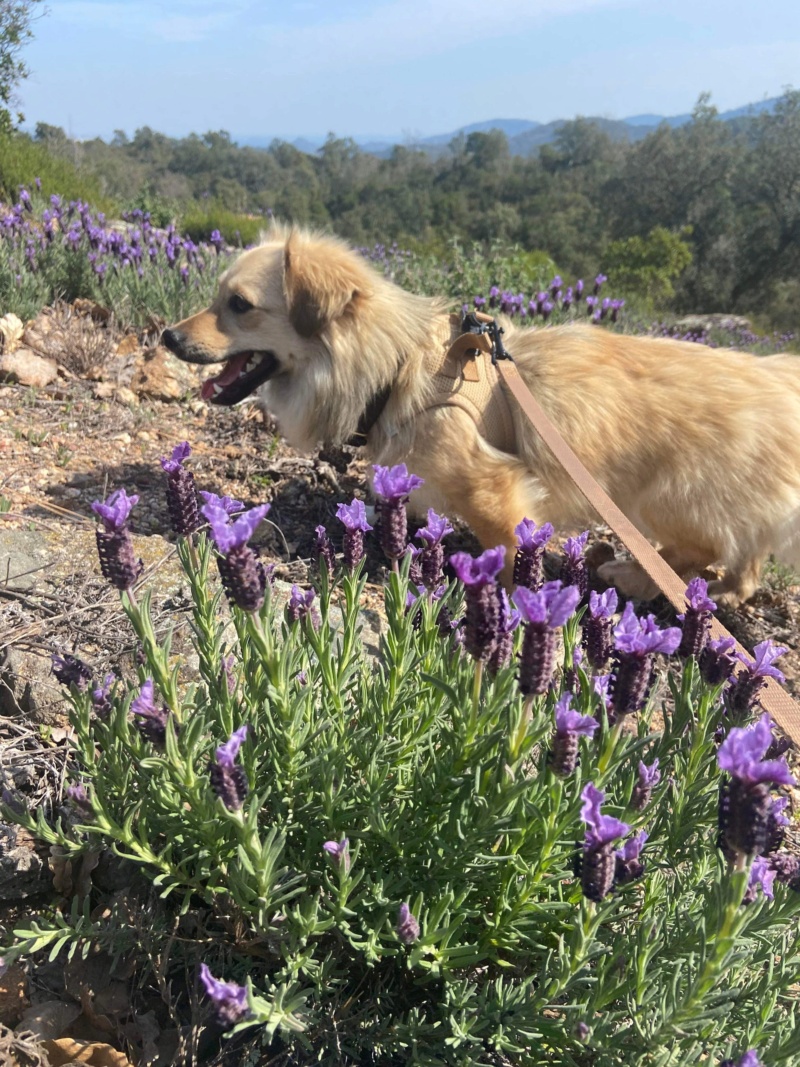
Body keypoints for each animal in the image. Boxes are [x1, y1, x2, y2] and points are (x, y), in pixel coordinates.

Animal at [161, 220, 800, 606]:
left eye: (238, 305)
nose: (167, 335)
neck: (398, 368)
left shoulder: (494, 491)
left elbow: (510, 556)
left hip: (660, 500)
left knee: (707, 549)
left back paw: (635, 574)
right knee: (745, 558)